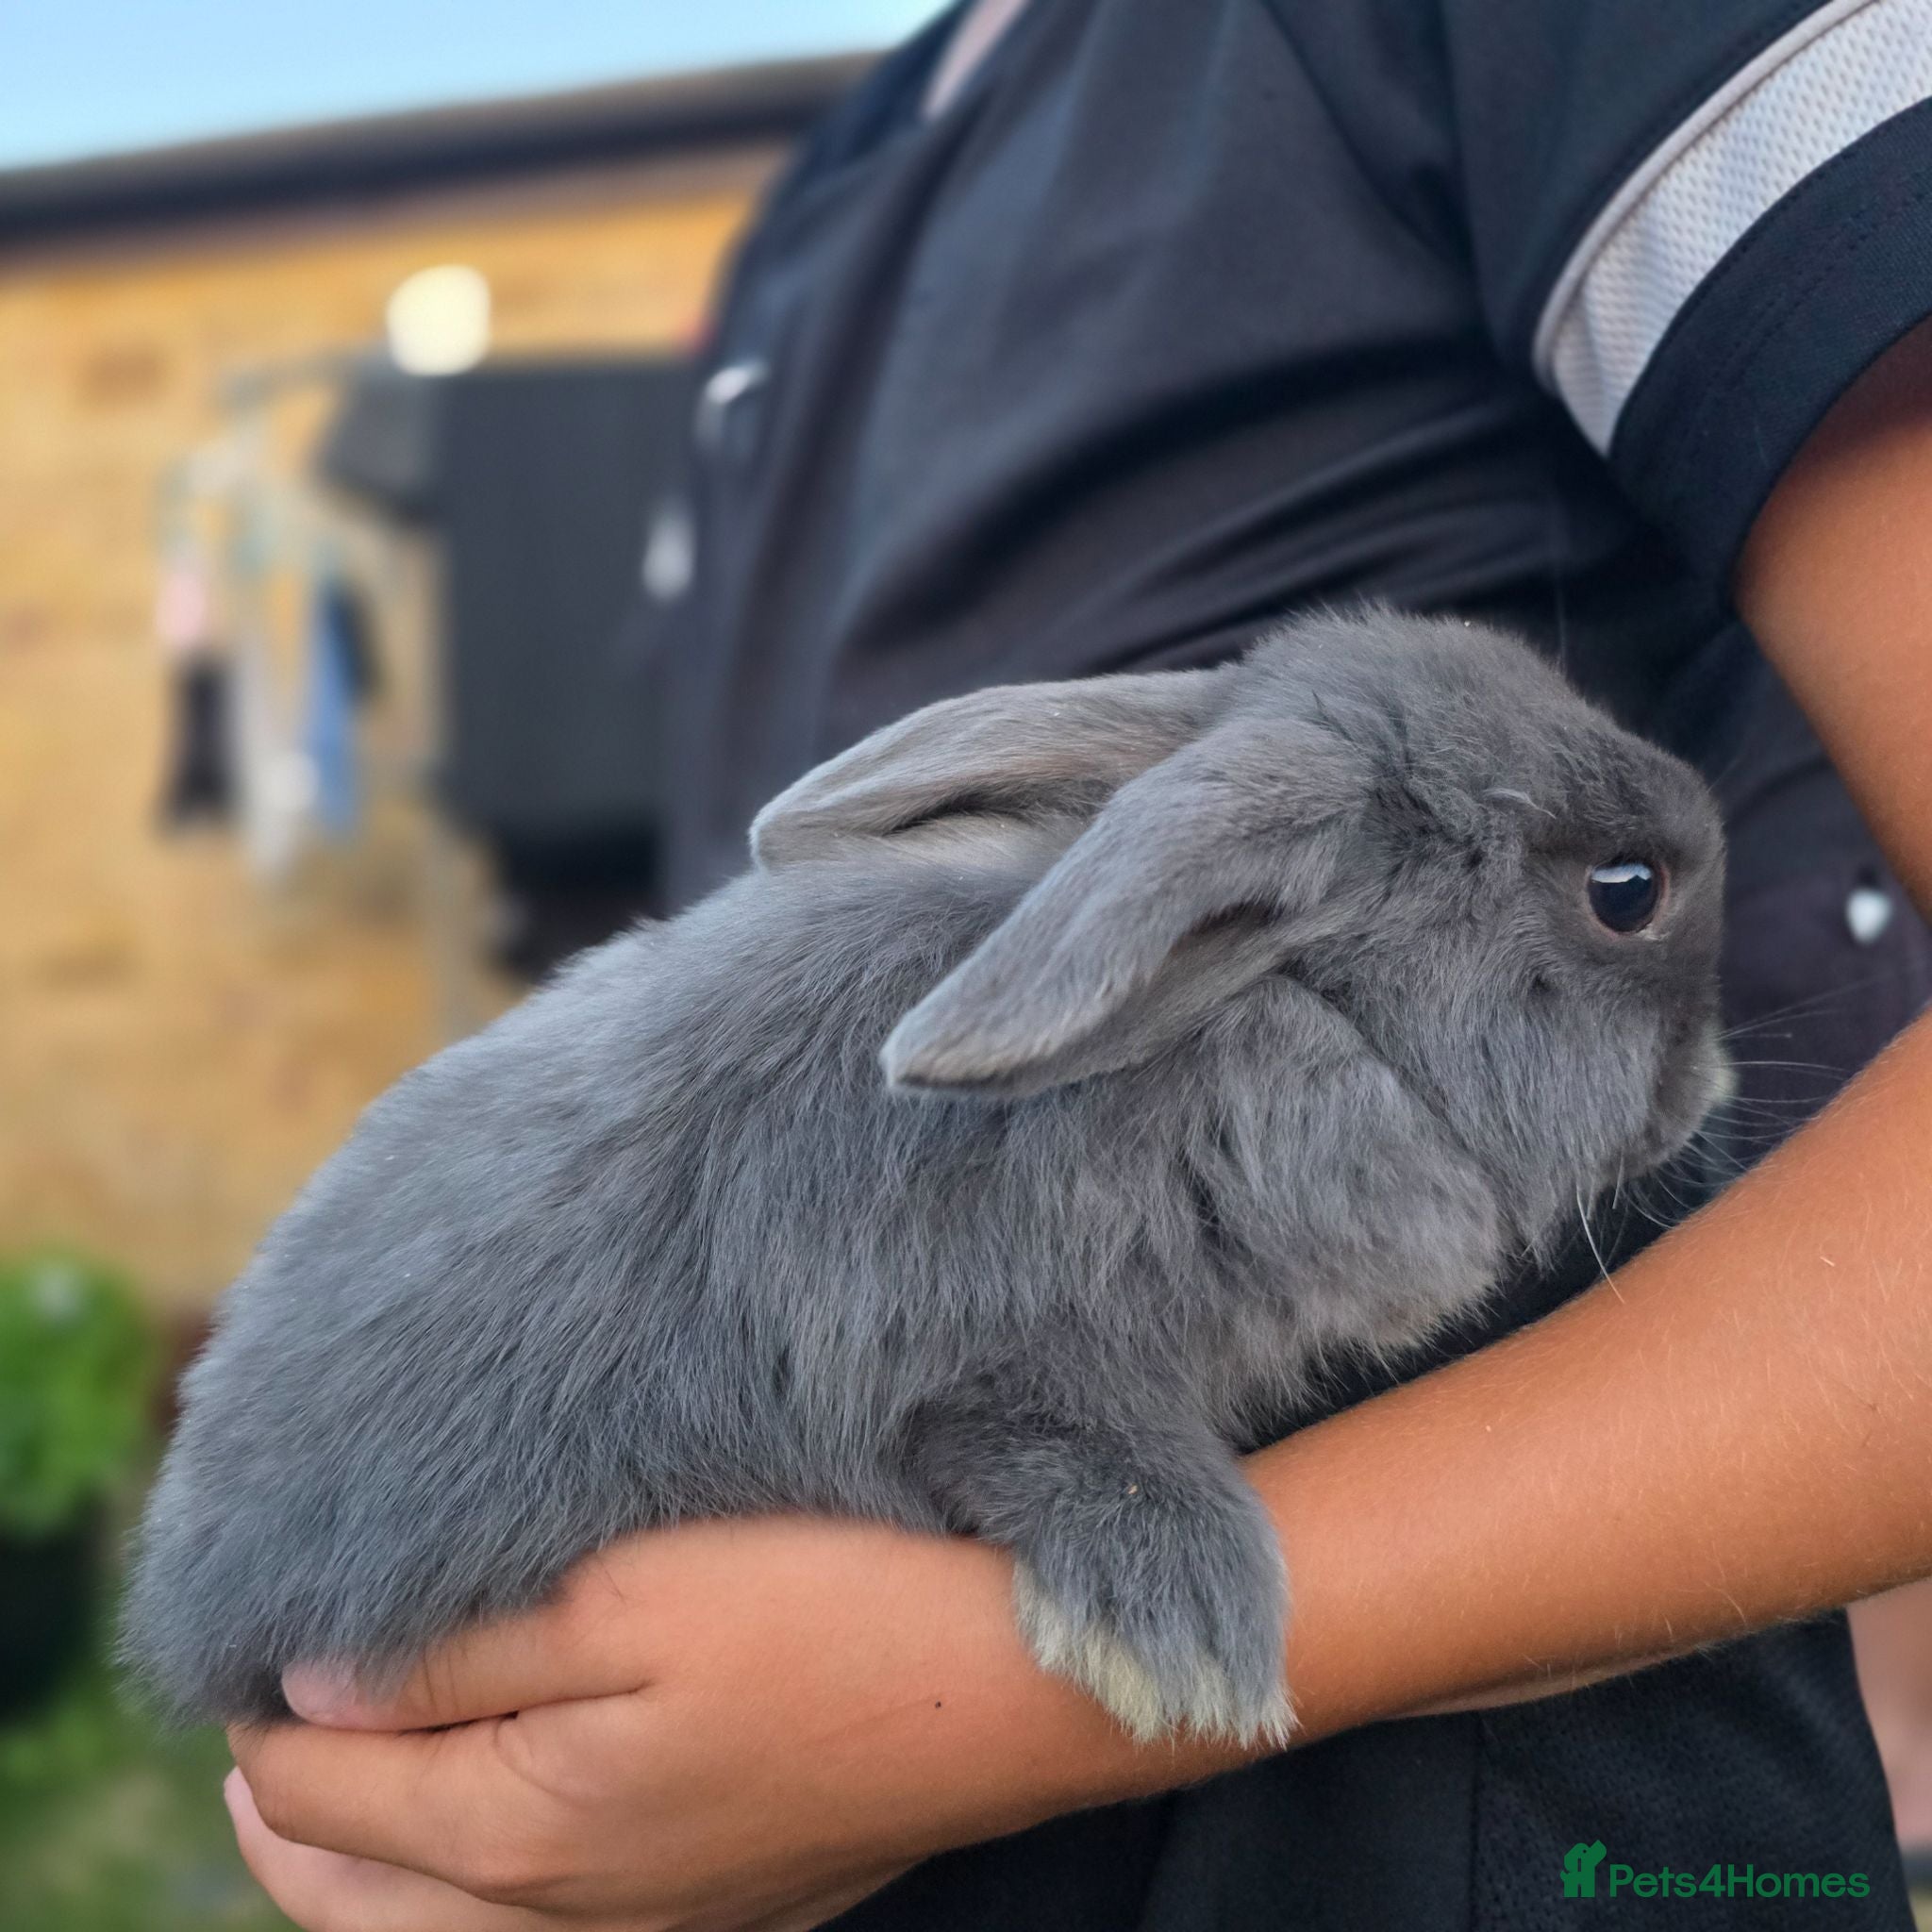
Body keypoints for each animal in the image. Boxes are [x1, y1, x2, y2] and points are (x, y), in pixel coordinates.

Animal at [123, 608, 1729, 1747]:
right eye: (1625, 892)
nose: (1709, 1077)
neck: (1273, 1024)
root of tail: (190, 1603)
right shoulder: (976, 1360)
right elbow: (1068, 1451)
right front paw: (1185, 1646)